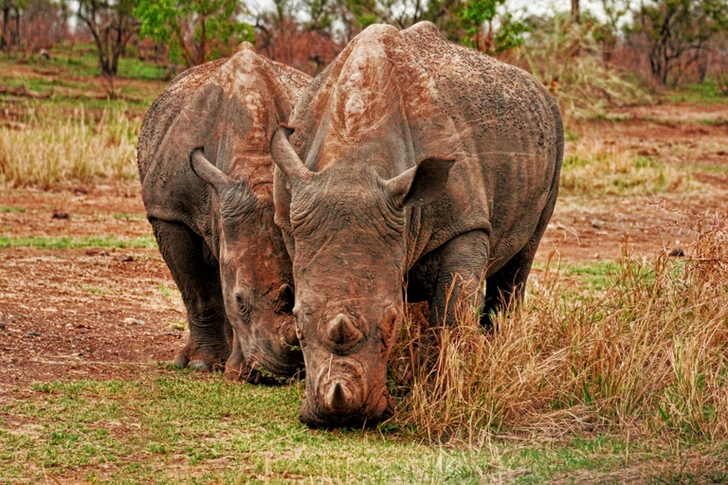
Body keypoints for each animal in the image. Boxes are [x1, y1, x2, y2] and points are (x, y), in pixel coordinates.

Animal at [270, 22, 564, 427]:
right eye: (296, 321)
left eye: (393, 322)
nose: (342, 418)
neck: (353, 160)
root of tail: (541, 90)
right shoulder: (291, 220)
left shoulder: (465, 223)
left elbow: (453, 311)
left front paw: (448, 390)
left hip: (553, 132)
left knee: (522, 258)